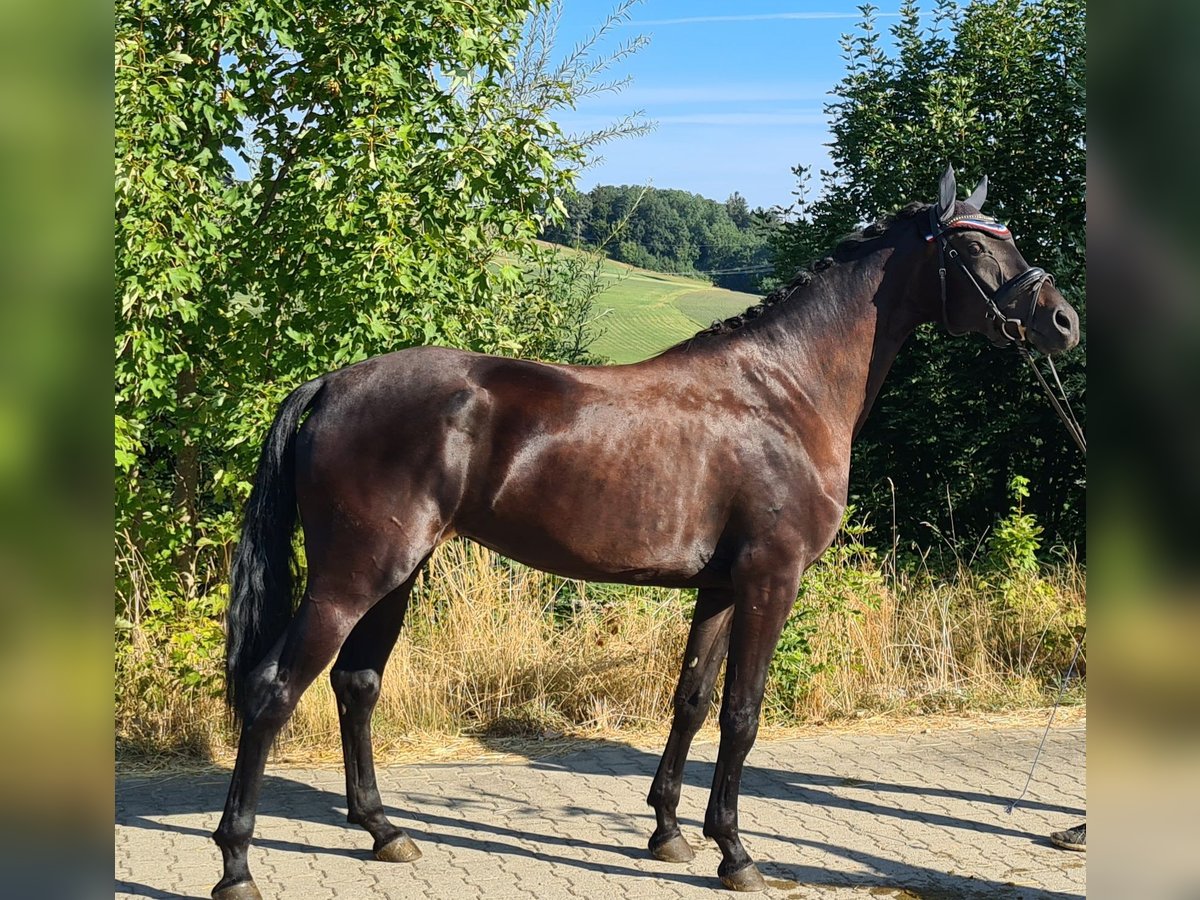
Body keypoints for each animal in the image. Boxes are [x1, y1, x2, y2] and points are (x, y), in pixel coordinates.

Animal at [211, 165, 1084, 897]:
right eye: (973, 245)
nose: (1064, 321)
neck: (785, 391)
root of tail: (333, 382)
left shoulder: (722, 587)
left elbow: (691, 700)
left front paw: (669, 832)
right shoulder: (772, 580)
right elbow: (742, 714)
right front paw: (736, 854)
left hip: (398, 573)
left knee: (356, 686)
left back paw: (384, 830)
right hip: (354, 576)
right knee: (274, 691)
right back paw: (237, 863)